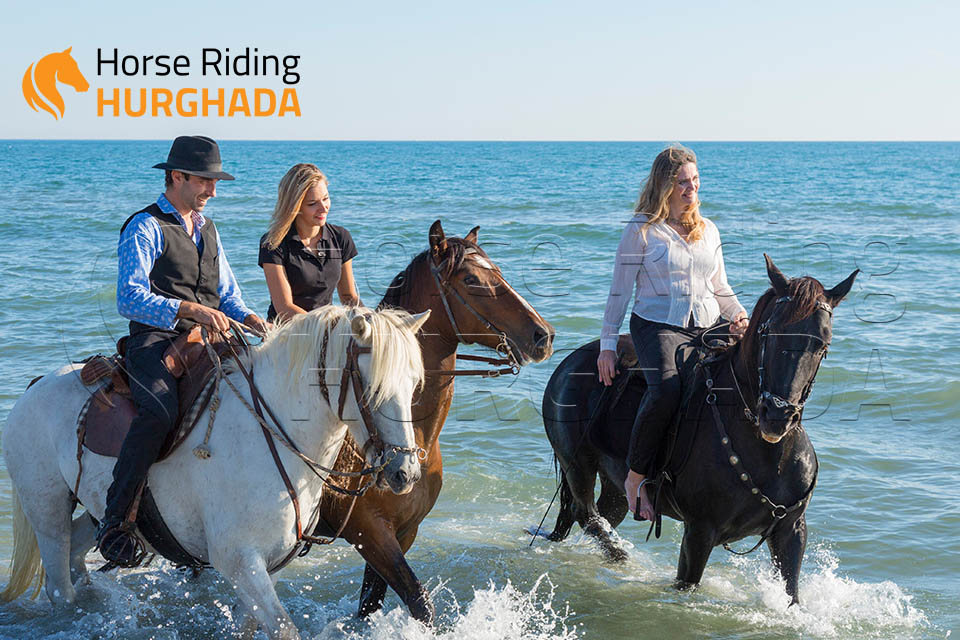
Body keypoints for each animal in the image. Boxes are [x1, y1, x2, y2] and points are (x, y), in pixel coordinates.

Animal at [1, 305, 431, 640]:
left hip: (98, 514)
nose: (405, 472)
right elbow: (283, 628)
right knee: (60, 587)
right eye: (372, 387)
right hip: (47, 510)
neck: (271, 434)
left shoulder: (268, 565)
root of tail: (35, 387)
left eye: (414, 384)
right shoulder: (239, 560)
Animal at [317, 220, 556, 623]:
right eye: (471, 279)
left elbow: (371, 602)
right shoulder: (368, 531)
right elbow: (418, 600)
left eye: (498, 271)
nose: (543, 335)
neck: (413, 434)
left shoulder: (403, 532)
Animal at [540, 255, 858, 604]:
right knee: (586, 513)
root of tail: (570, 362)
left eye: (823, 344)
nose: (776, 415)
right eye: (768, 332)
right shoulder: (699, 533)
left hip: (616, 485)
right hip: (578, 465)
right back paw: (621, 557)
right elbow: (687, 584)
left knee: (601, 516)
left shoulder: (791, 531)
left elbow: (792, 594)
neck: (766, 453)